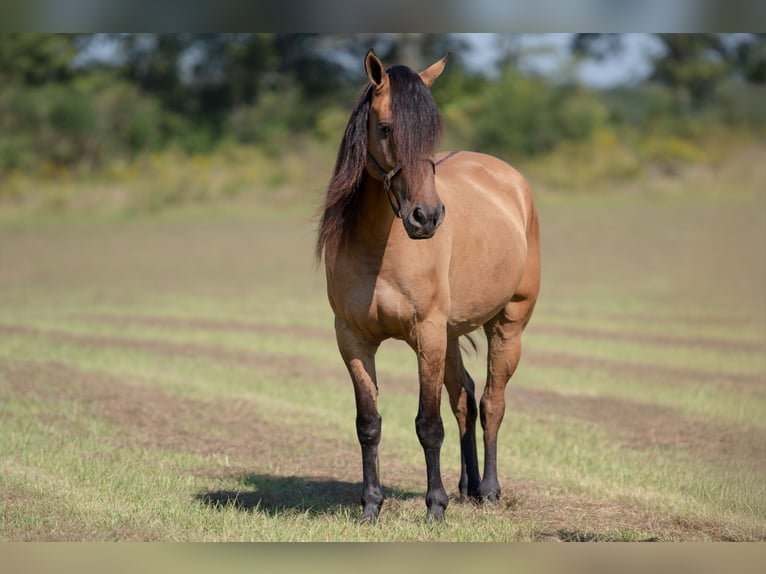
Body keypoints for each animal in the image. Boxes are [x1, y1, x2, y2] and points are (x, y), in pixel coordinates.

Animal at [316, 51, 540, 524]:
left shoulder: (427, 336)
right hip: (452, 335)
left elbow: (428, 425)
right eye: (385, 128)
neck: (380, 250)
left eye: (432, 133)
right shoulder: (353, 341)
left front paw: (434, 506)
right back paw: (468, 487)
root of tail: (511, 181)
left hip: (506, 325)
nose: (427, 217)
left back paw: (488, 490)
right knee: (466, 398)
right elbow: (369, 423)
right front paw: (371, 505)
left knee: (492, 401)